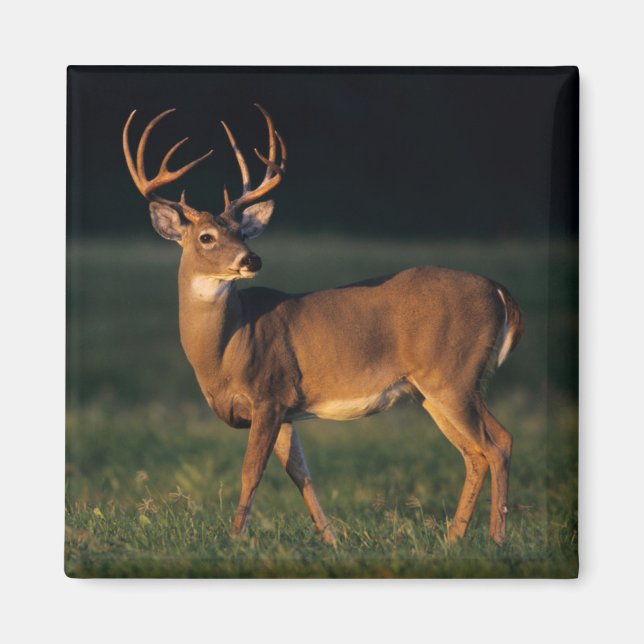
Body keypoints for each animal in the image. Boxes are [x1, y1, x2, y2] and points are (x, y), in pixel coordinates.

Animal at [122, 104, 524, 546]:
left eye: (243, 231)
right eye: (207, 237)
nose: (251, 259)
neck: (227, 347)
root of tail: (498, 290)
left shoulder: (269, 393)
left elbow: (251, 472)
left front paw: (234, 538)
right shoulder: (285, 408)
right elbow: (301, 474)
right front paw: (331, 540)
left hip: (454, 375)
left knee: (496, 444)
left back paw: (496, 537)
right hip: (432, 389)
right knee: (478, 450)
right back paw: (453, 539)